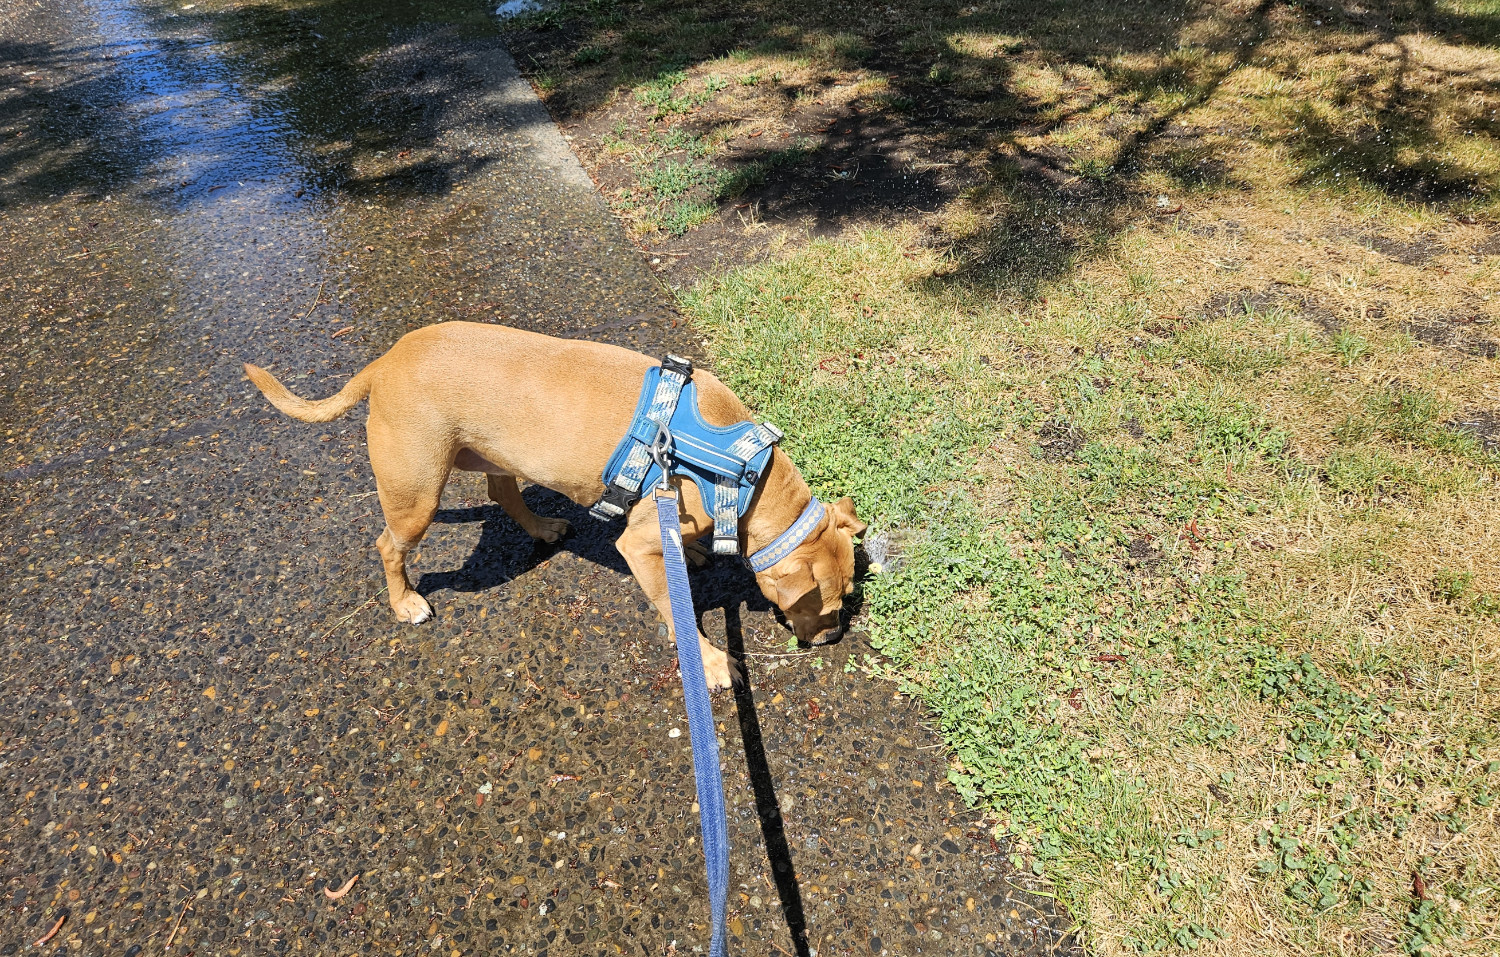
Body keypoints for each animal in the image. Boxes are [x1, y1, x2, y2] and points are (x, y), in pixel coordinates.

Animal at [240, 322, 864, 690]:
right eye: (827, 605)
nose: (835, 639)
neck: (740, 471)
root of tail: (385, 362)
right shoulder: (639, 542)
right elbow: (675, 609)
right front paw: (709, 661)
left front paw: (694, 554)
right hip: (415, 494)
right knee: (389, 545)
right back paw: (405, 602)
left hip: (492, 455)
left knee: (502, 493)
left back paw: (541, 526)